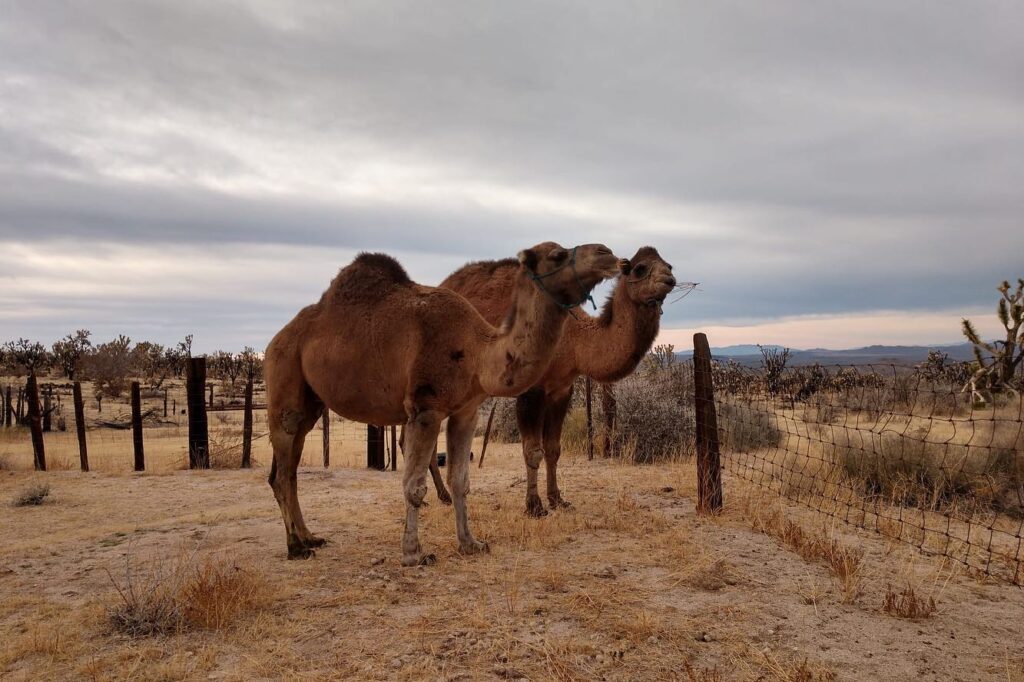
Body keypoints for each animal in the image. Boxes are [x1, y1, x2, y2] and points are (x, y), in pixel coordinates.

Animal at [262, 241, 614, 561]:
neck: (477, 351)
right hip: (284, 384)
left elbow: (460, 481)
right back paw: (295, 547)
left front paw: (471, 544)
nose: (607, 253)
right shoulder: (425, 408)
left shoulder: (466, 411)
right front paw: (414, 553)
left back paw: (310, 537)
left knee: (290, 471)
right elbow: (414, 485)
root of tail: (274, 341)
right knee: (281, 471)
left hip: (311, 402)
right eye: (557, 254)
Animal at [432, 246, 679, 512]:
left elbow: (553, 448)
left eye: (669, 265)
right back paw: (440, 496)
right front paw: (534, 506)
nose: (669, 279)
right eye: (640, 268)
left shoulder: (562, 389)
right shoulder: (532, 390)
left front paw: (557, 499)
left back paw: (442, 496)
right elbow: (532, 450)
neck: (576, 339)